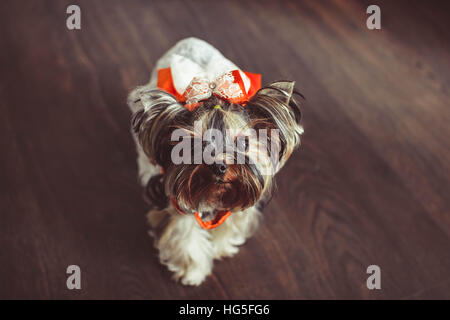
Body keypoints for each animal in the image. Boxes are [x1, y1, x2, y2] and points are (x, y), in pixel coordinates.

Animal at [127, 37, 302, 284]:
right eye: (192, 145)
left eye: (243, 143)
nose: (219, 166)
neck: (216, 192)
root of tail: (189, 41)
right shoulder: (176, 198)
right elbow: (184, 232)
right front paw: (191, 271)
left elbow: (233, 220)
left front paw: (221, 247)